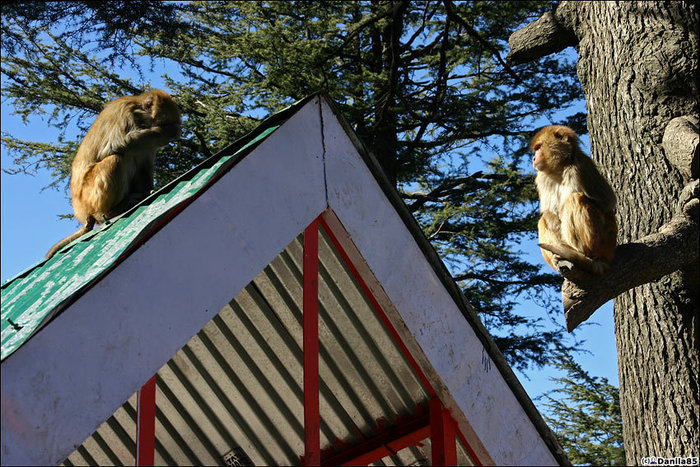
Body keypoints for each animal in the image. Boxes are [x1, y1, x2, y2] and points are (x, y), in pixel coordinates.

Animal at [44, 90, 180, 260]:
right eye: (165, 123)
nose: (168, 139)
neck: (138, 112)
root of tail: (80, 209)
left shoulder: (148, 144)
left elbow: (145, 165)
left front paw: (150, 190)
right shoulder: (125, 116)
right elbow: (116, 145)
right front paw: (166, 132)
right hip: (90, 194)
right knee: (116, 158)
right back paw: (109, 212)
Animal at [532, 126, 616, 276]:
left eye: (539, 147)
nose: (534, 157)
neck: (559, 169)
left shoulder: (581, 167)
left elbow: (607, 202)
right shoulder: (542, 178)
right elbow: (550, 212)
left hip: (602, 241)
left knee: (575, 198)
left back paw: (582, 253)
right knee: (545, 217)